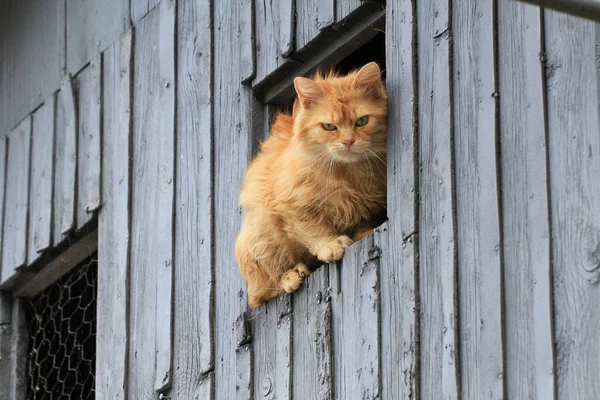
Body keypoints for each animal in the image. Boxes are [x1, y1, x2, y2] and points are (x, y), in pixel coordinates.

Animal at [234, 61, 390, 310]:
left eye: (362, 121)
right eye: (329, 126)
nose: (348, 141)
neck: (346, 172)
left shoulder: (369, 204)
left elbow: (363, 223)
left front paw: (361, 234)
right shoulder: (291, 204)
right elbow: (313, 230)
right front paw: (330, 245)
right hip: (259, 237)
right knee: (259, 294)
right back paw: (291, 275)